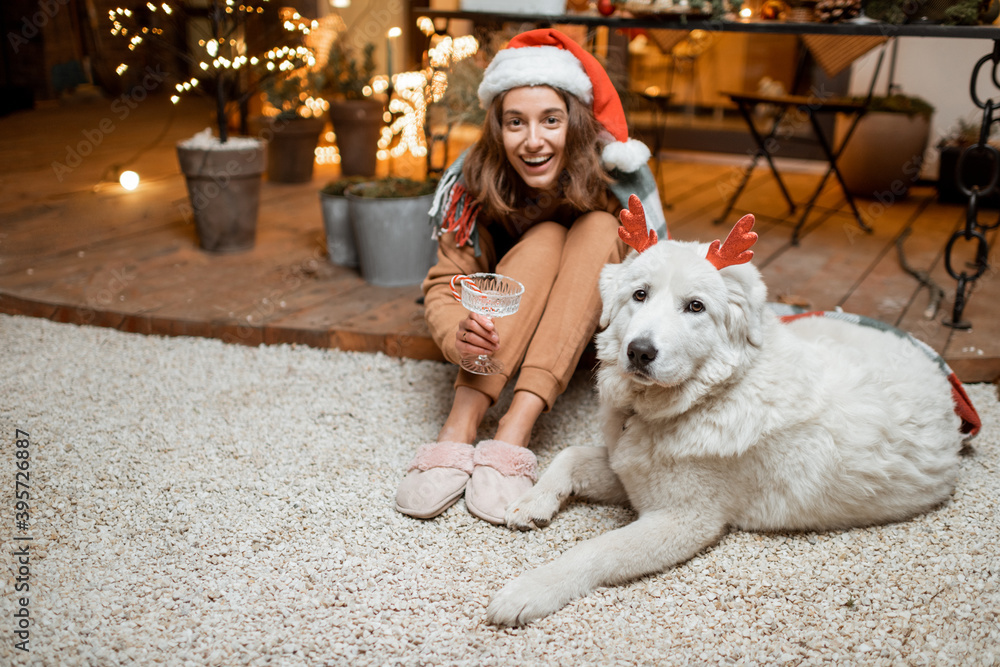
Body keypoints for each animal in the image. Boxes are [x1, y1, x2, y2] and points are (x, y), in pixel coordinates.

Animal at [484, 202, 976, 628]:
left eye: (695, 307)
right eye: (639, 295)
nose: (639, 352)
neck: (707, 396)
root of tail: (936, 368)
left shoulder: (683, 518)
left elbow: (595, 550)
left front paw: (528, 590)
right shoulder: (631, 473)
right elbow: (569, 455)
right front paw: (531, 502)